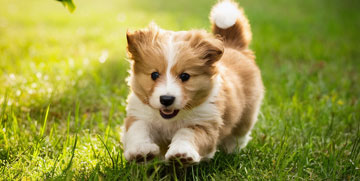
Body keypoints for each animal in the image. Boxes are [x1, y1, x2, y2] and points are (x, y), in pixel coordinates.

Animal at [121, 0, 264, 164]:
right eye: (154, 75)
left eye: (185, 76)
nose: (166, 99)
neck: (171, 119)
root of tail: (233, 46)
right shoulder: (139, 114)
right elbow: (138, 129)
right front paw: (141, 151)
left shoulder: (205, 124)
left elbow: (187, 134)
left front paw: (181, 154)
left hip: (247, 114)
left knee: (240, 134)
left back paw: (232, 150)